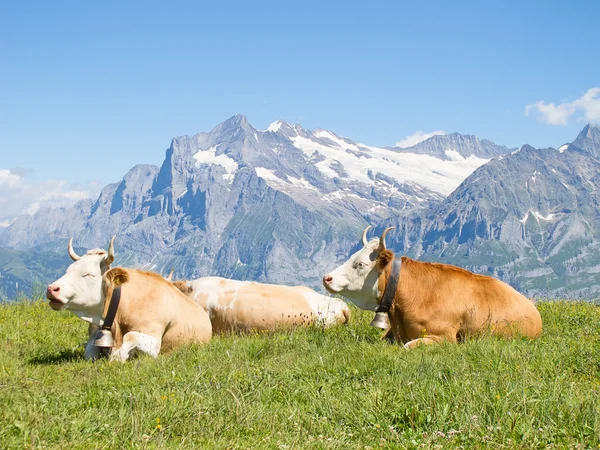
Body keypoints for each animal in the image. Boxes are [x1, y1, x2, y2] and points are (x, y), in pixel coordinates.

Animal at [46, 239, 211, 362]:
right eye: (68, 270)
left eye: (88, 274)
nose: (51, 289)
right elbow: (89, 352)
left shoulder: (154, 342)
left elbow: (129, 338)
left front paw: (120, 356)